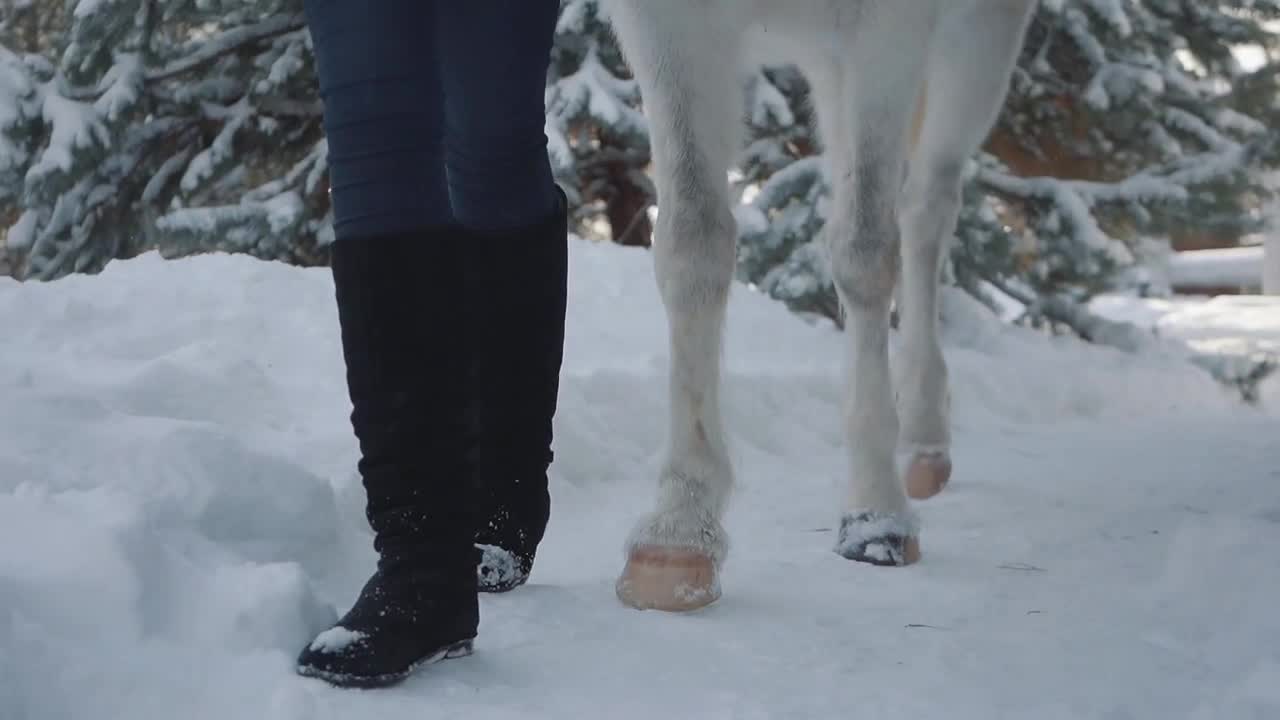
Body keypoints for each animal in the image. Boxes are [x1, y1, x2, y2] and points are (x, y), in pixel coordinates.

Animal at [601, 1, 1039, 609]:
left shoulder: (891, 31)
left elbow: (865, 250)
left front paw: (878, 516)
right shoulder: (666, 26)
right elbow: (693, 240)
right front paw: (678, 533)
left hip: (978, 42)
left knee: (926, 209)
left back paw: (923, 434)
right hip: (831, 64)